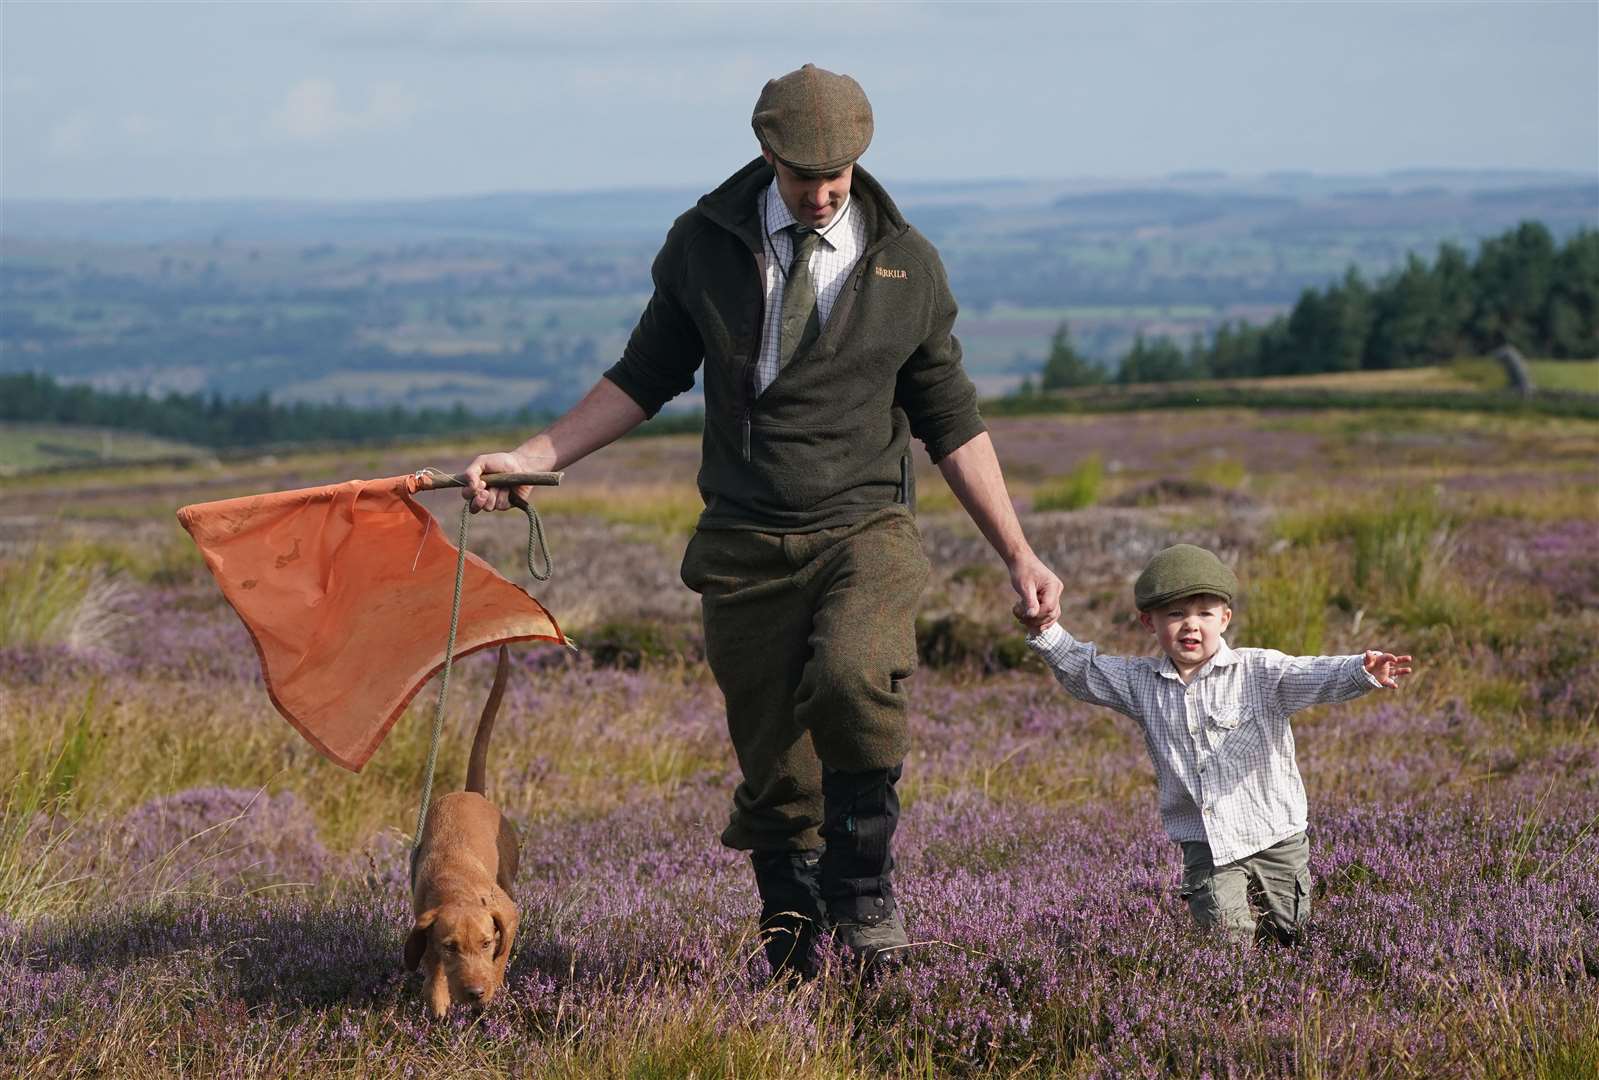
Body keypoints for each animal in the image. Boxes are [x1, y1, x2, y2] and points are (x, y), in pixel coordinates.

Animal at [402, 646, 521, 1017]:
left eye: (485, 943)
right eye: (450, 946)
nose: (475, 993)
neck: (454, 883)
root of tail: (471, 793)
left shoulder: (508, 915)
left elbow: (500, 958)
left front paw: (494, 987)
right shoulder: (425, 924)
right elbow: (431, 962)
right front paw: (438, 997)